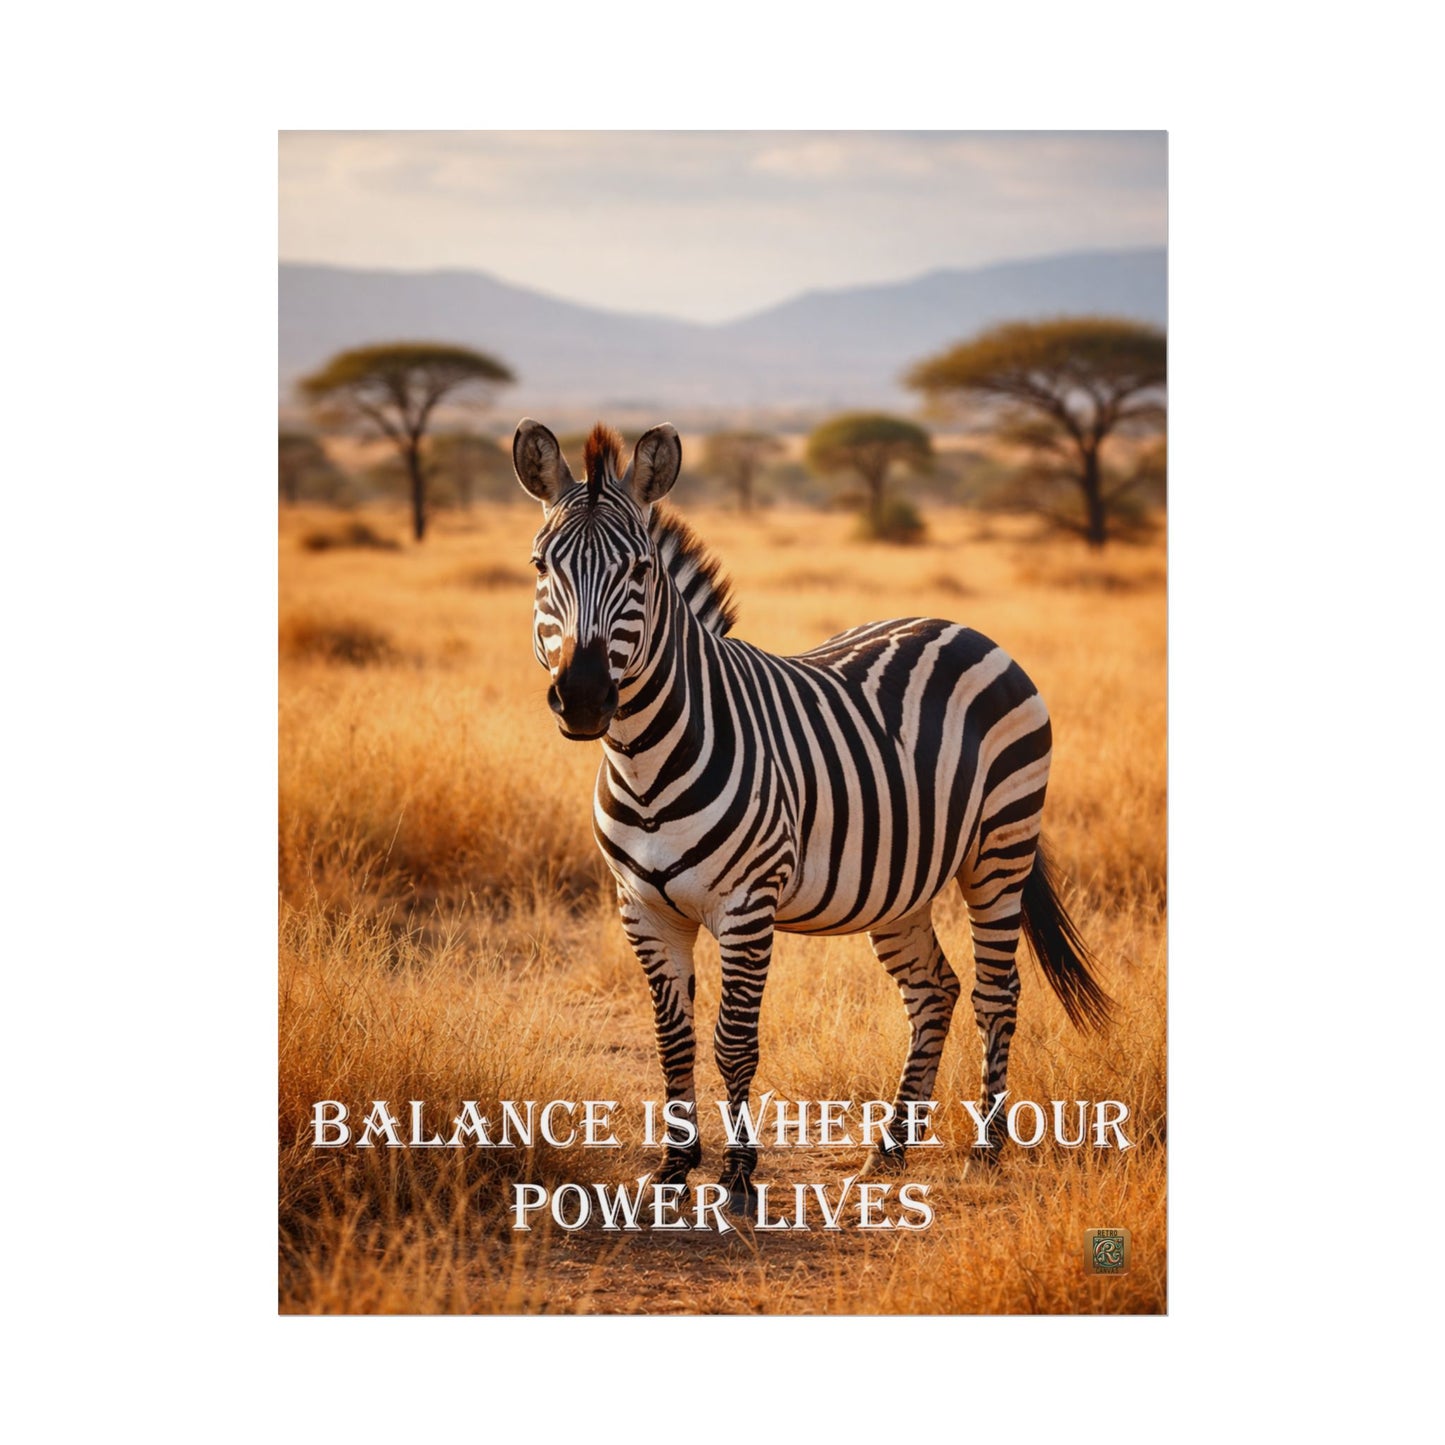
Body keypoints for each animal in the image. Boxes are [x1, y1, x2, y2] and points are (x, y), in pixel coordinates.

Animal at [514, 418, 1112, 1209]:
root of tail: (959, 627)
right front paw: (673, 1169)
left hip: (1000, 848)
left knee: (995, 991)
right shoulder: (640, 907)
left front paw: (738, 1176)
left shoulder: (746, 903)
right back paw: (890, 1149)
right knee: (934, 991)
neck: (642, 761)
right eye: (539, 565)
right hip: (900, 886)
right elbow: (671, 1039)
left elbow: (733, 1040)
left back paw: (986, 1151)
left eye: (639, 569)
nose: (582, 698)